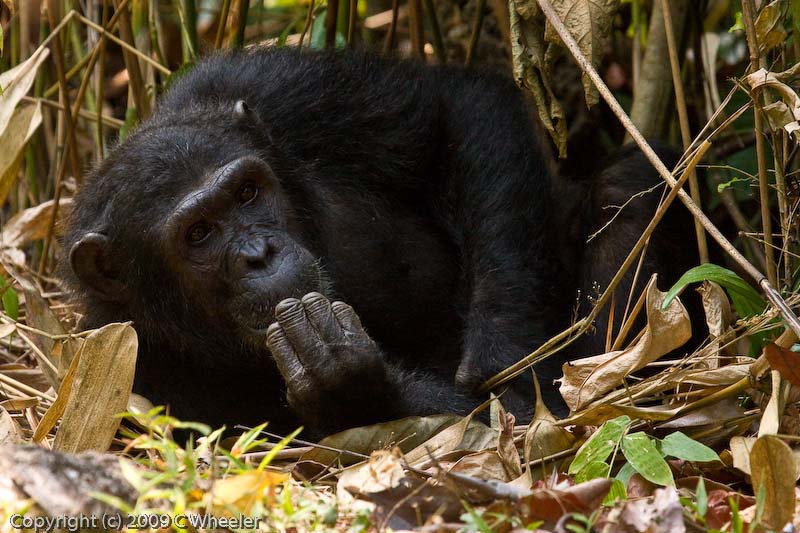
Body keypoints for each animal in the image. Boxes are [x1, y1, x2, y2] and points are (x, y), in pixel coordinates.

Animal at [61, 46, 692, 436]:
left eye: (246, 193)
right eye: (198, 233)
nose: (259, 255)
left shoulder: (280, 88)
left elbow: (453, 111)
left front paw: (503, 354)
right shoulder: (139, 376)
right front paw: (346, 383)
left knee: (628, 185)